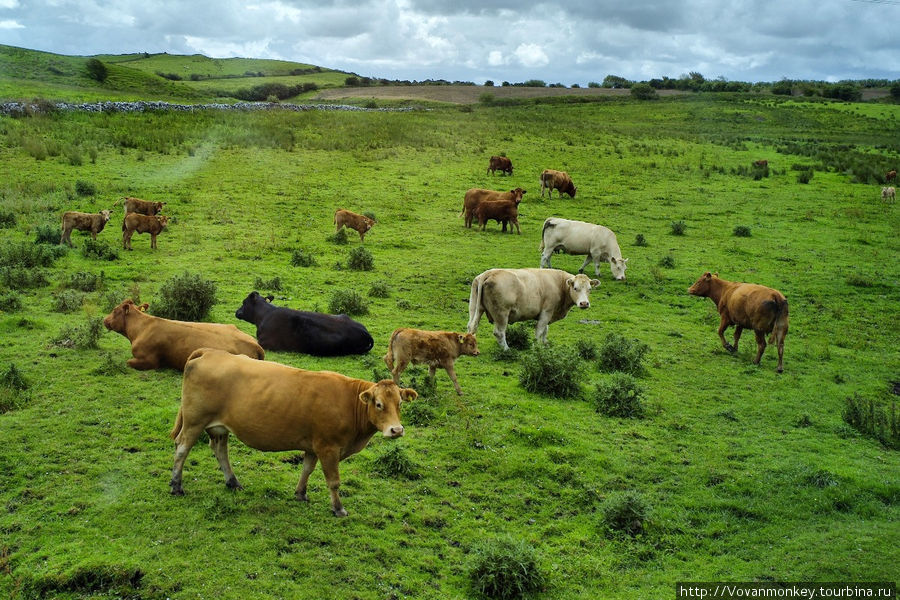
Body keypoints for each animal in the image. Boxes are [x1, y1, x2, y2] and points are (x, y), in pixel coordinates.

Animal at [103, 298, 264, 370]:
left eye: (115, 310)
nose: (104, 320)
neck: (141, 327)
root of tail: (255, 344)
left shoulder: (149, 360)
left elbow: (128, 362)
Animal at [170, 350, 418, 516]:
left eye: (399, 403)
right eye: (378, 404)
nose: (396, 430)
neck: (349, 402)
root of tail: (209, 352)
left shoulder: (313, 446)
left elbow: (307, 469)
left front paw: (300, 493)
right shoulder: (328, 448)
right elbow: (334, 481)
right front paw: (338, 508)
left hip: (219, 427)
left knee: (220, 450)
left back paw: (233, 481)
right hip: (194, 422)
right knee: (182, 448)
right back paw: (176, 485)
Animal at [468, 268, 600, 352]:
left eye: (589, 289)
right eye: (575, 288)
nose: (584, 303)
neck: (559, 283)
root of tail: (490, 272)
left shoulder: (548, 314)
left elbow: (545, 330)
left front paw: (545, 344)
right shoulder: (546, 312)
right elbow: (539, 331)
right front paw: (536, 347)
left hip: (475, 308)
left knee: (471, 326)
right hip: (501, 313)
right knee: (499, 332)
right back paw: (507, 349)